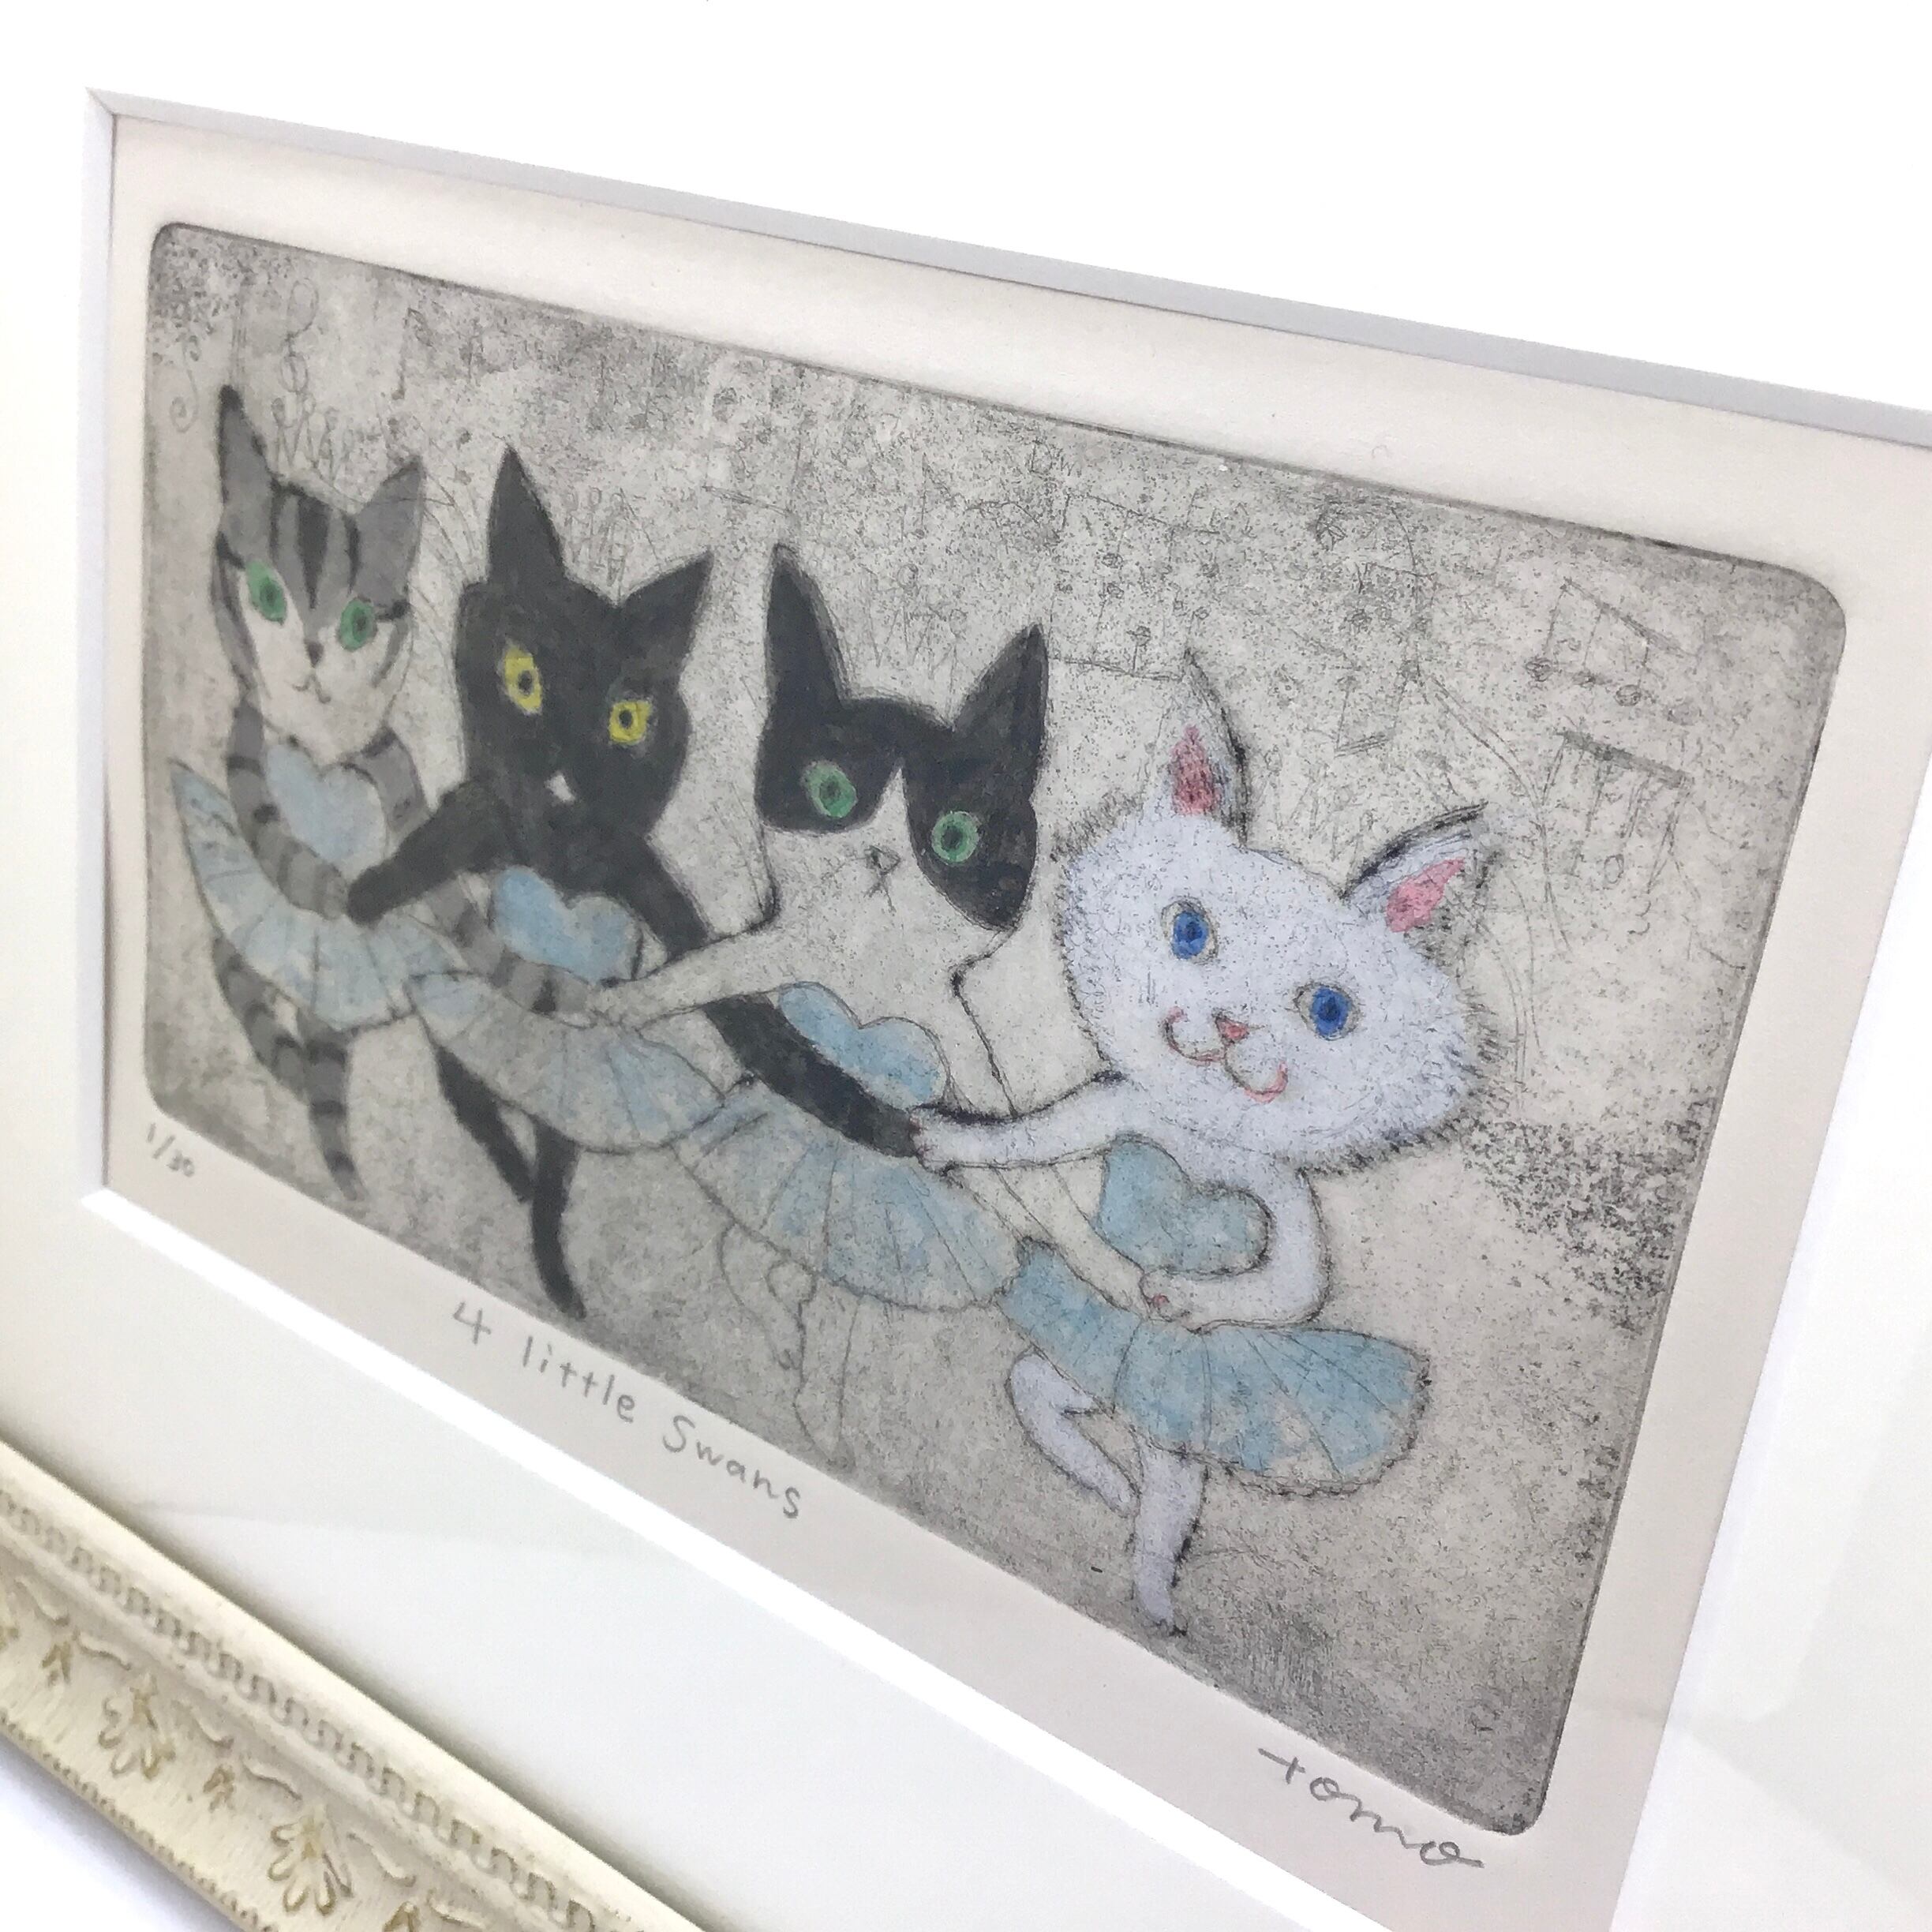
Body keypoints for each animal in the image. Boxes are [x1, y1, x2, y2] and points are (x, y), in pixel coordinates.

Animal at [171, 385, 437, 1199]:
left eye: (356, 624)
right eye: (267, 595)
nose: (316, 652)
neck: (317, 746)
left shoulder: (388, 760)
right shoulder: (248, 745)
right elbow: (268, 832)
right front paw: (324, 885)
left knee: (322, 1054)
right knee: (239, 976)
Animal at [346, 454, 907, 1317]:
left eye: (626, 720)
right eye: (523, 679)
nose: (565, 774)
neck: (559, 862)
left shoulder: (645, 882)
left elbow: (745, 1016)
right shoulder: (482, 826)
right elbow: (431, 853)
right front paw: (357, 895)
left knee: (547, 1145)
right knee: (475, 1096)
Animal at [591, 549, 1146, 1455]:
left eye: (953, 837)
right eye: (830, 791)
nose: (882, 856)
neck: (867, 979)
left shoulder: (961, 1053)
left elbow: (1020, 1164)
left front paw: (1104, 1265)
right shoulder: (782, 952)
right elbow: (709, 974)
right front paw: (630, 1004)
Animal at [912, 661, 1490, 1629]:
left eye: (1328, 1010)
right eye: (1188, 931)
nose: (1228, 1025)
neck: (1203, 1138)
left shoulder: (1282, 1193)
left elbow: (1295, 1285)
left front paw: (1181, 1296)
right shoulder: (1121, 1108)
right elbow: (1035, 1136)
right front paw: (954, 1138)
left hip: (1173, 1410)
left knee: (1165, 1484)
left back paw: (1151, 1589)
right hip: (1097, 1363)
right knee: (1042, 1389)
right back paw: (1107, 1486)